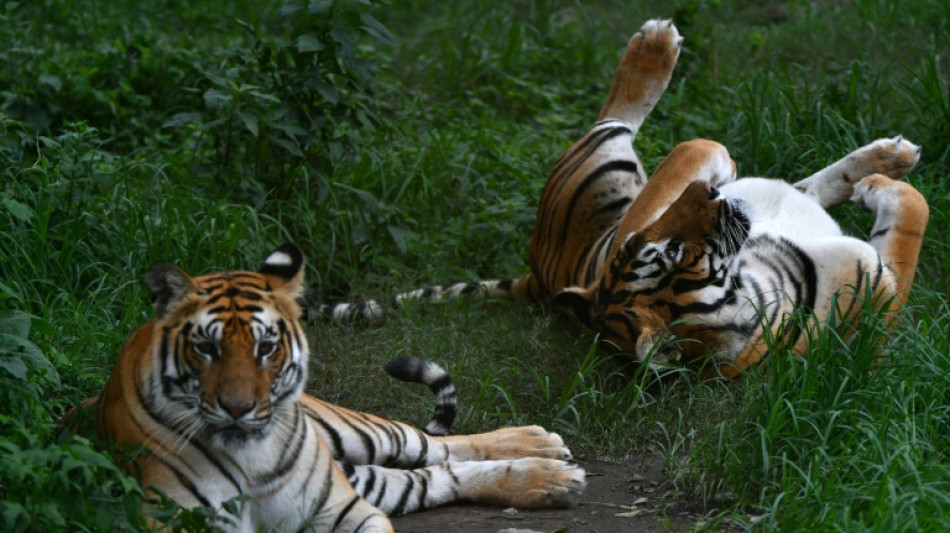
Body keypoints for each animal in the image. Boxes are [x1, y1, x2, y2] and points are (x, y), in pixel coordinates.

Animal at [87, 242, 588, 532]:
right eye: (206, 349)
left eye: (267, 347)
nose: (240, 408)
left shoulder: (344, 510)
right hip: (362, 475)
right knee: (432, 475)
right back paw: (550, 476)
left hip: (356, 434)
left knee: (431, 445)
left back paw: (542, 447)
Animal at [312, 19, 928, 378]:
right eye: (667, 254)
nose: (710, 191)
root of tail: (537, 273)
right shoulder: (882, 292)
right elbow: (911, 224)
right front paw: (886, 192)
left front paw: (879, 184)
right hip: (600, 163)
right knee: (616, 118)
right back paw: (656, 48)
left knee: (799, 187)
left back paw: (886, 158)